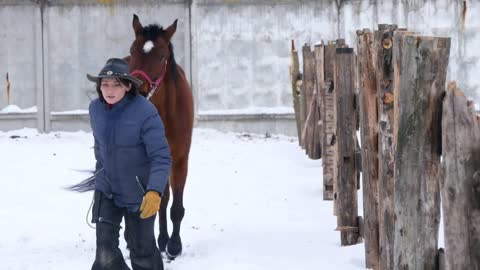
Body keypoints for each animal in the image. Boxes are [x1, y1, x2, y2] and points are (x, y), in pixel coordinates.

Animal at [127, 14, 195, 260]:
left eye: (162, 56)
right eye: (132, 50)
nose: (135, 87)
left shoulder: (180, 159)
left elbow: (175, 205)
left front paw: (174, 245)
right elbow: (160, 201)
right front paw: (164, 241)